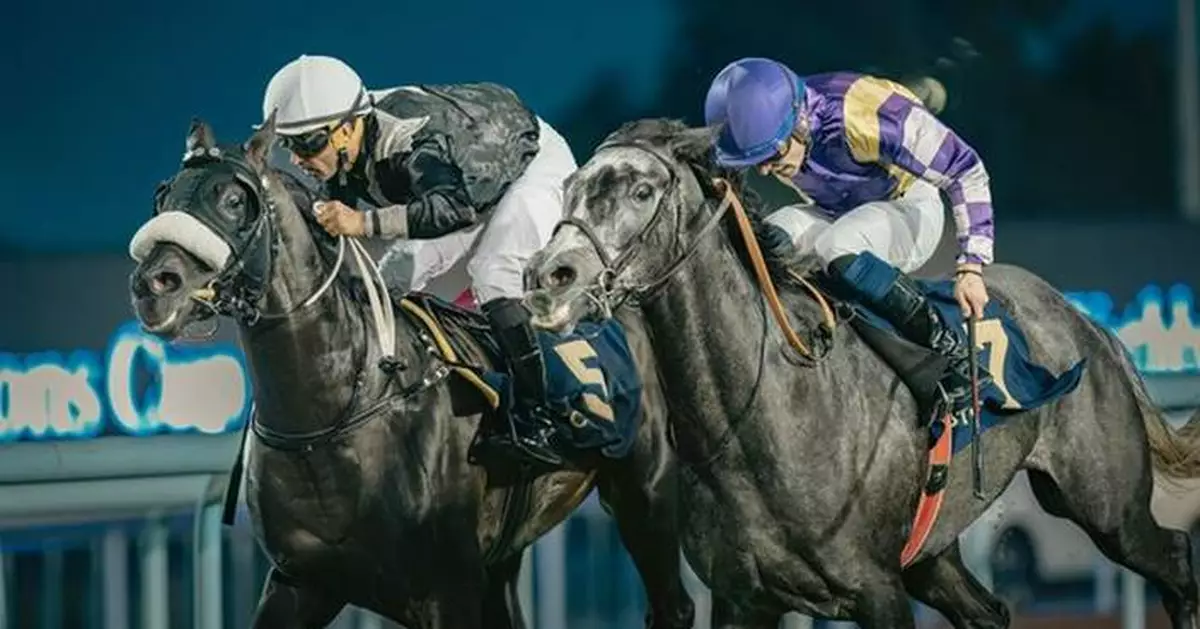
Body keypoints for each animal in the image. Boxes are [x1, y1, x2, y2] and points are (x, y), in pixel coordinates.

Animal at [125, 117, 695, 629]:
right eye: (163, 197)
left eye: (233, 200)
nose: (154, 284)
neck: (338, 408)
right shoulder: (302, 581)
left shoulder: (447, 589)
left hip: (645, 492)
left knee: (674, 605)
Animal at [524, 118, 1200, 629]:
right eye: (571, 187)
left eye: (641, 191)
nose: (548, 276)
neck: (761, 415)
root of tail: (1086, 322)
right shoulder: (743, 597)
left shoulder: (877, 590)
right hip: (933, 555)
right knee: (991, 612)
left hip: (1105, 506)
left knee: (1174, 557)